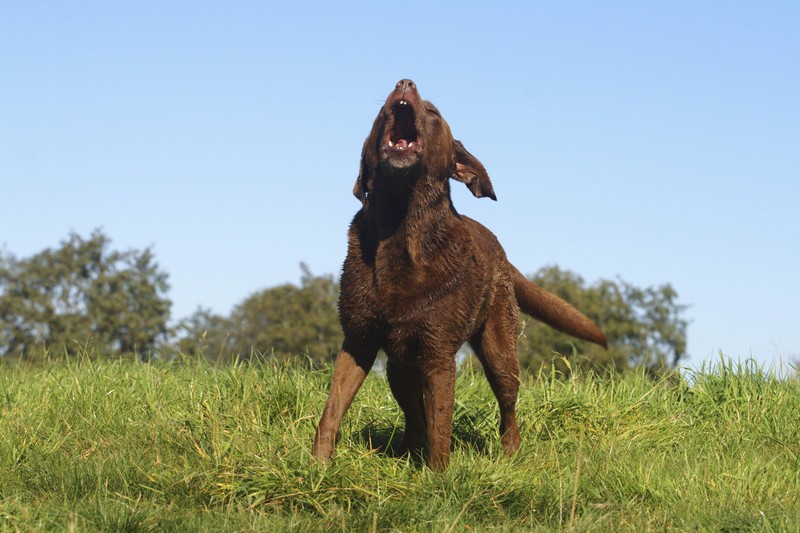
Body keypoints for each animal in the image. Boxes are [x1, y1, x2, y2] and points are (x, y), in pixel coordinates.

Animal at [312, 79, 608, 470]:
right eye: (380, 113)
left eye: (433, 112)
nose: (404, 83)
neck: (399, 226)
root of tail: (501, 251)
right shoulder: (358, 341)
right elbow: (331, 409)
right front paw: (316, 466)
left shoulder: (439, 356)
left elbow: (442, 427)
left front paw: (439, 477)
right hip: (399, 369)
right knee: (415, 416)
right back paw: (407, 452)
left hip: (500, 353)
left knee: (507, 410)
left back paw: (509, 455)